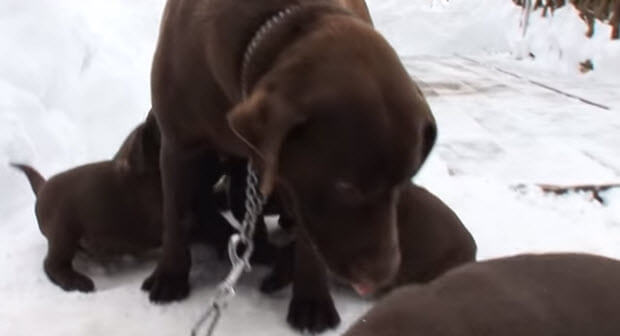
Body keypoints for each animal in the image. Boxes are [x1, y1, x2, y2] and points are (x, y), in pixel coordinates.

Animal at [145, 0, 436, 326]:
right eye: (346, 187)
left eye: (405, 181)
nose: (382, 275)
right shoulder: (178, 145)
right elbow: (176, 213)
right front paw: (170, 275)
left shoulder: (301, 190)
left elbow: (308, 244)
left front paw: (312, 301)